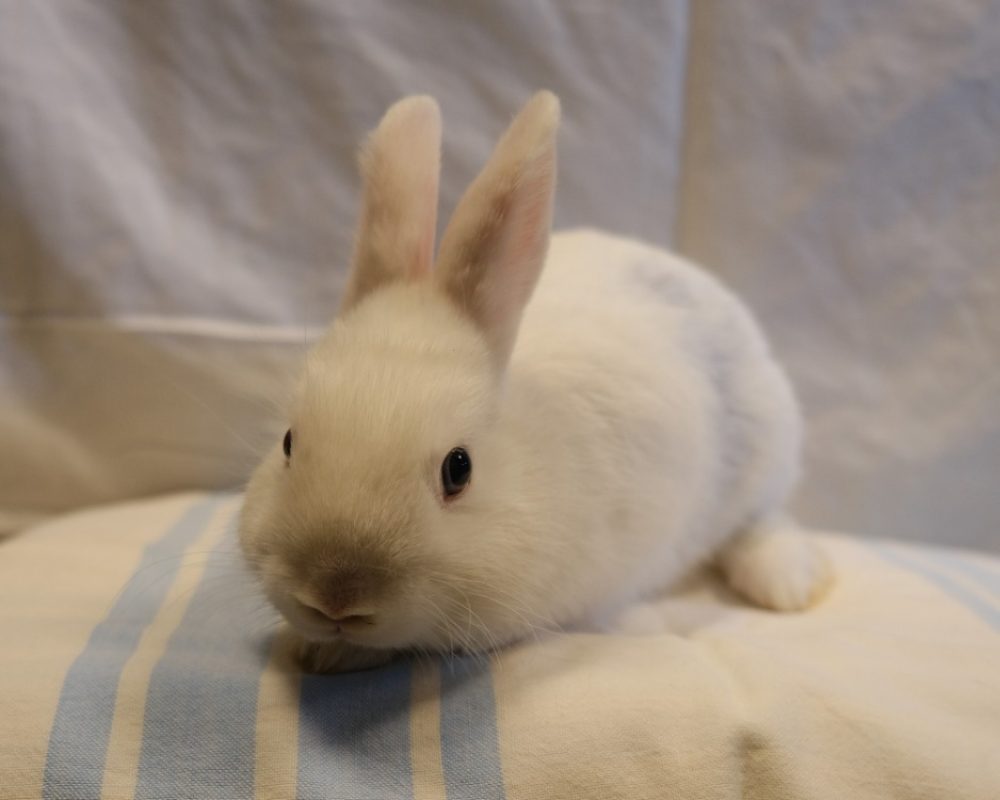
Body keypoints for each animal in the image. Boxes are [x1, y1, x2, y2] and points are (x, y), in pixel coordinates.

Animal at [239, 91, 833, 674]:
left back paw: (785, 586)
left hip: (763, 457)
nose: (336, 597)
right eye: (288, 443)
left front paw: (335, 651)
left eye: (459, 469)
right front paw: (311, 647)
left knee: (762, 521)